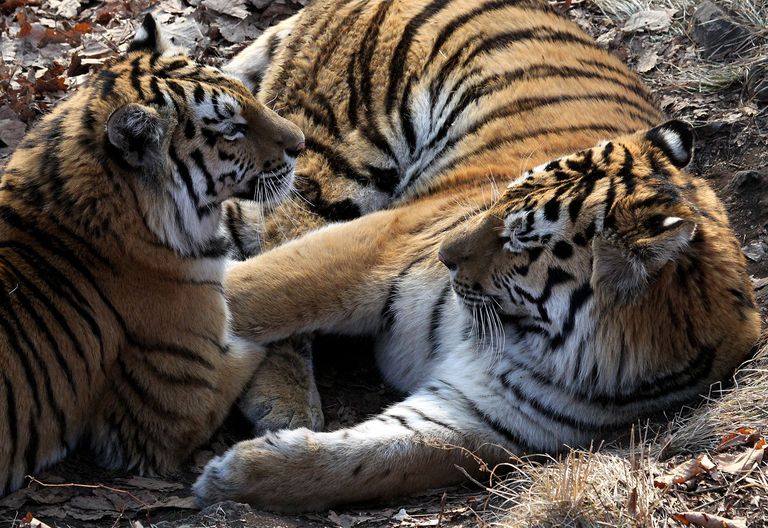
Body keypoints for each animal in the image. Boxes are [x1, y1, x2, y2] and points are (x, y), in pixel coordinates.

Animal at [194, 0, 761, 511]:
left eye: (519, 239)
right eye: (503, 197)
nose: (444, 255)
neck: (540, 339)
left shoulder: (479, 417)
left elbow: (380, 459)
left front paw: (239, 476)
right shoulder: (385, 242)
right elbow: (252, 292)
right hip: (327, 164)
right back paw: (284, 401)